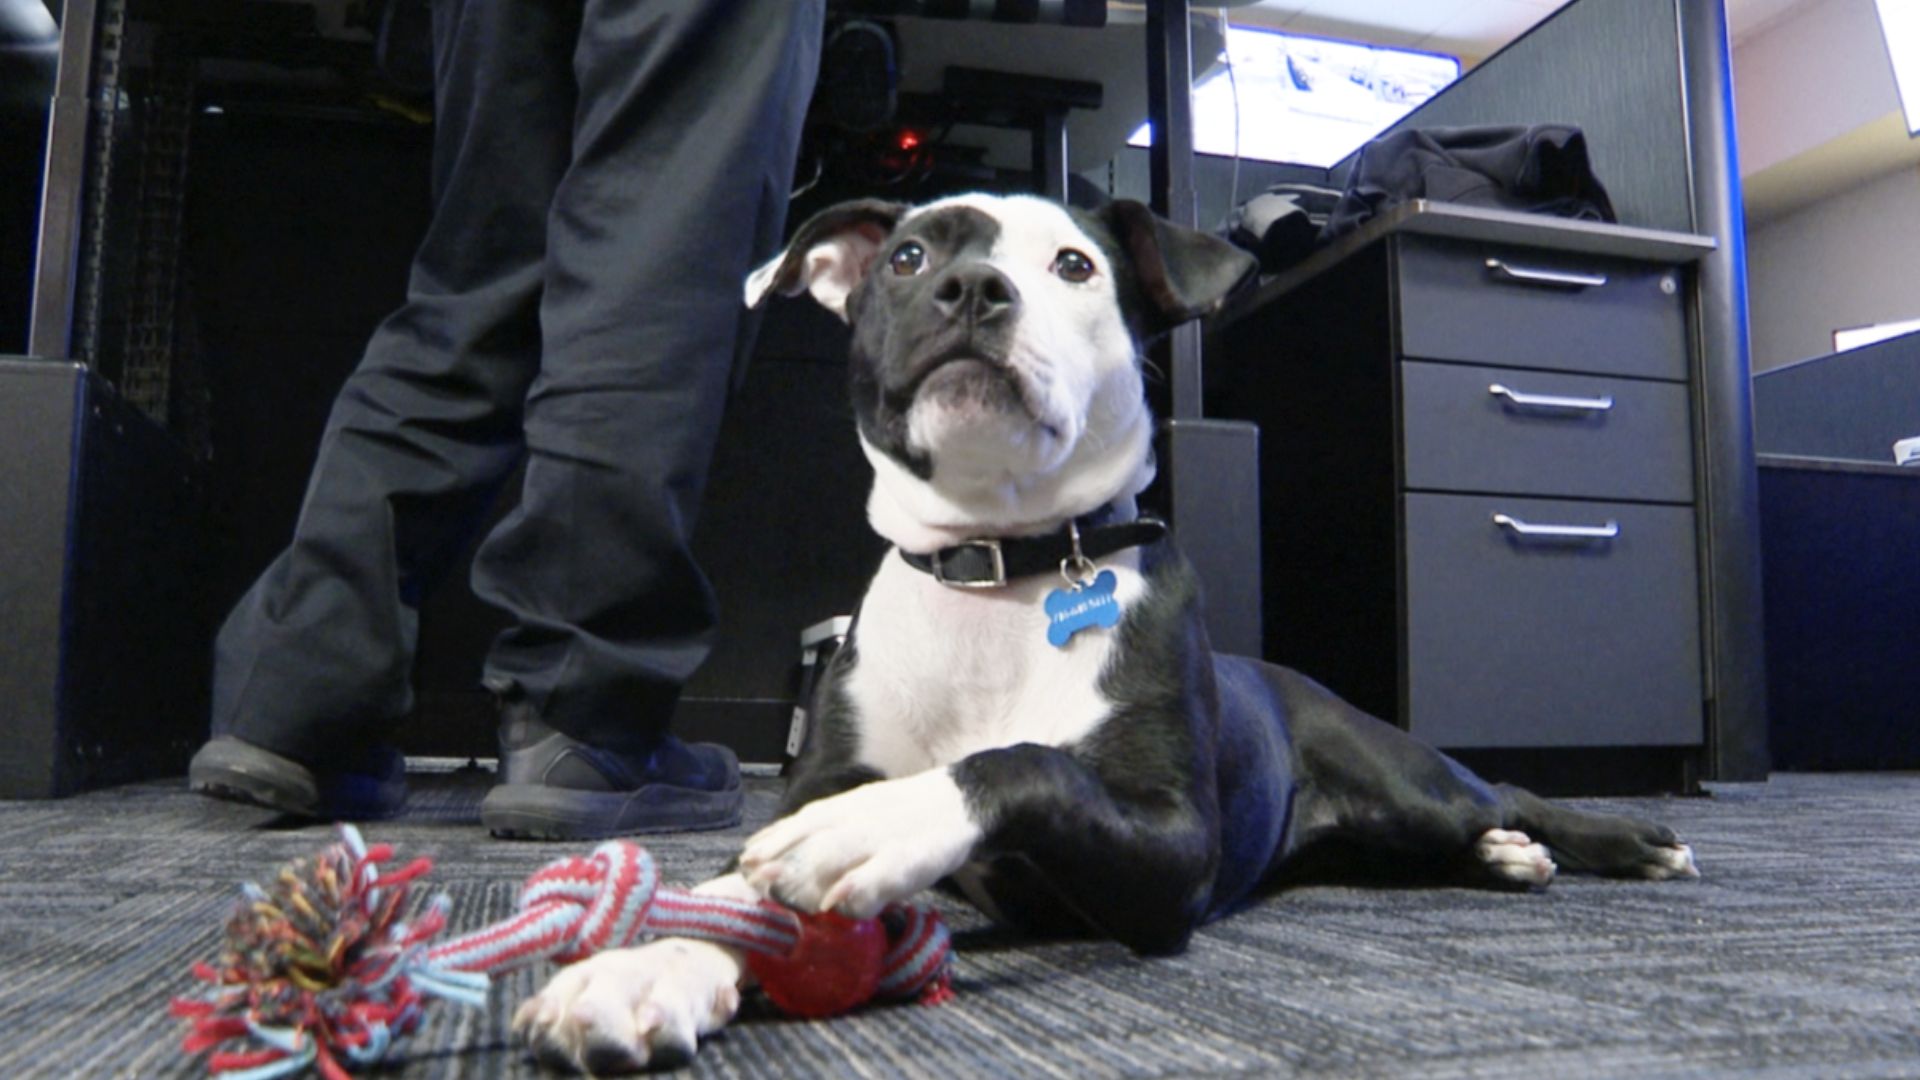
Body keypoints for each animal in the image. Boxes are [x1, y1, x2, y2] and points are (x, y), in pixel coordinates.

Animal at [510, 193, 1697, 1068]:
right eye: (906, 256)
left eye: (1075, 265)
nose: (970, 289)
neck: (999, 569)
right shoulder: (820, 779)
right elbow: (728, 895)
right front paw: (648, 965)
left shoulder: (1169, 846)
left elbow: (1022, 762)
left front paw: (878, 827)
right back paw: (1503, 860)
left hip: (1404, 781)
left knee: (1509, 788)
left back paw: (1617, 838)